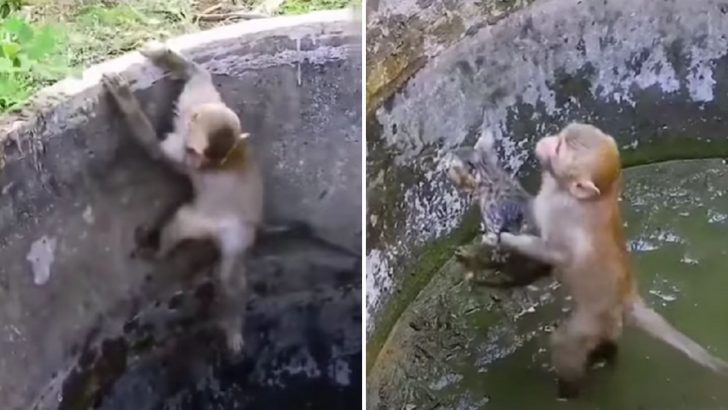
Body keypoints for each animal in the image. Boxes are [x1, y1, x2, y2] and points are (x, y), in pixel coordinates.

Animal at [490, 121, 728, 398]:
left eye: (560, 148)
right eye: (561, 136)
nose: (548, 140)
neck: (592, 196)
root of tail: (626, 296)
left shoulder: (562, 214)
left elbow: (559, 253)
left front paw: (506, 238)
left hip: (595, 318)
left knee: (566, 344)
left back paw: (568, 390)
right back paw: (608, 354)